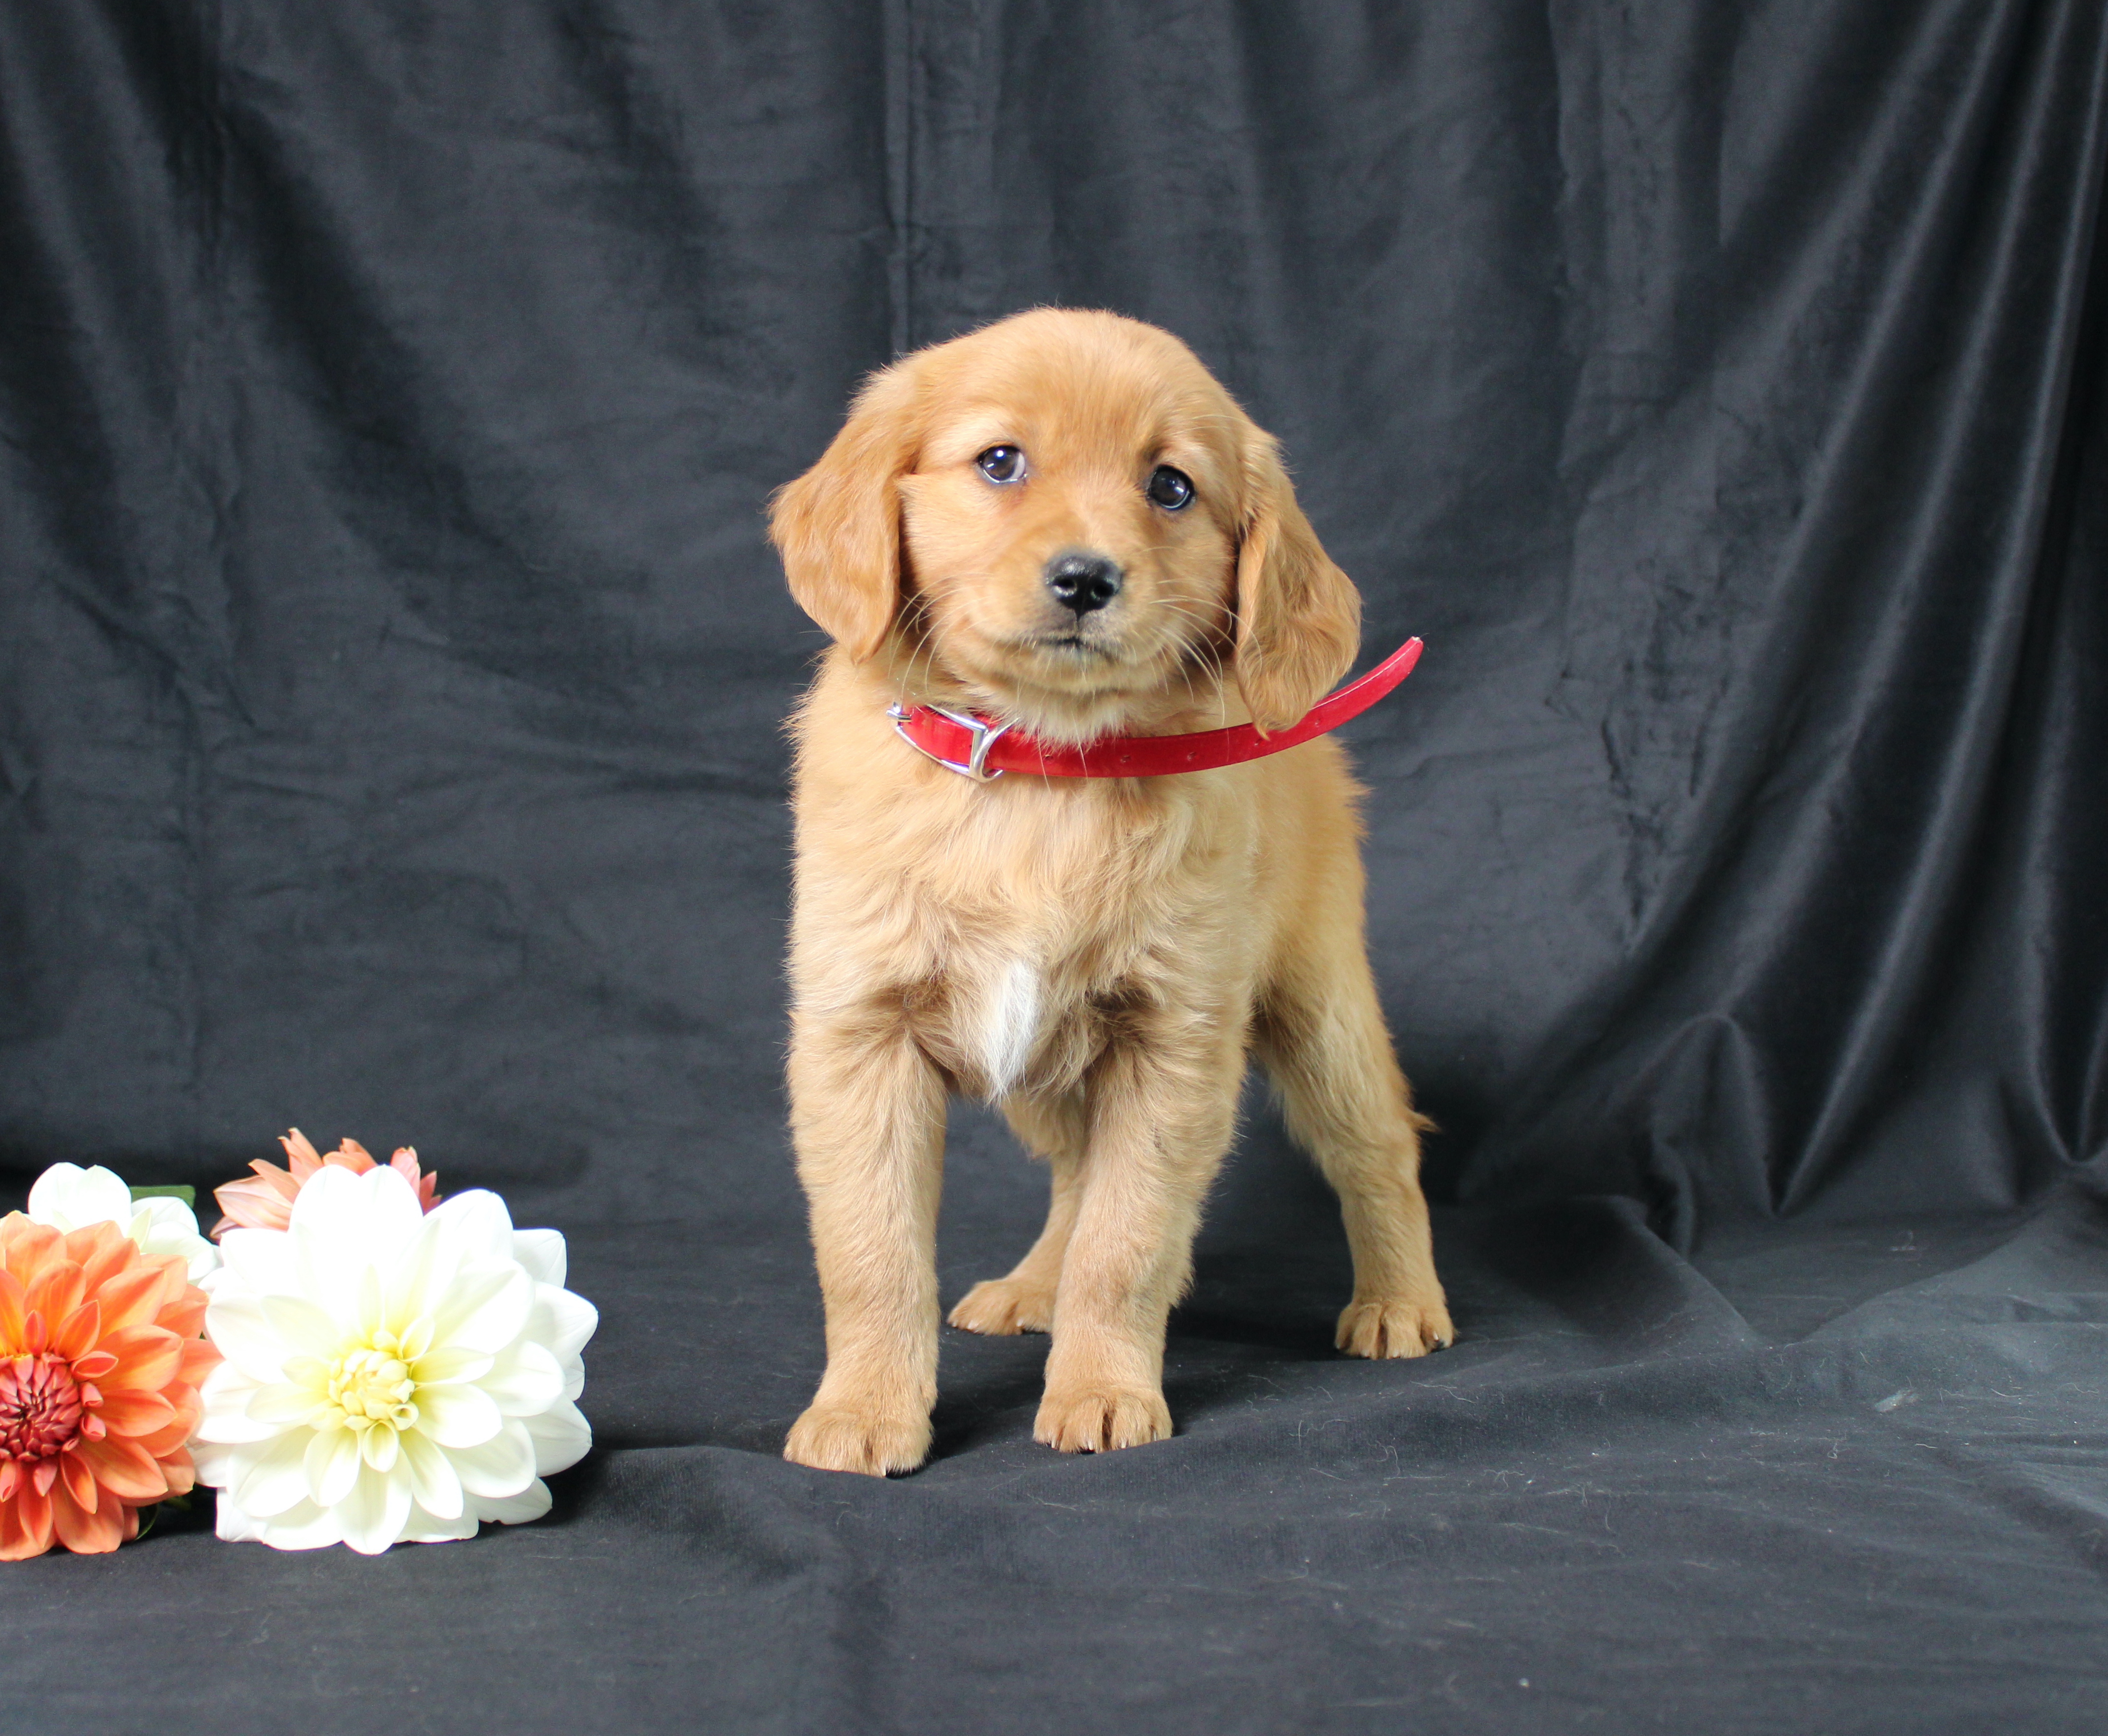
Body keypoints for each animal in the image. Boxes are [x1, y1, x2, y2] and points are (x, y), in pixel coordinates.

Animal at [771, 305, 1450, 1474]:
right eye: (1000, 462)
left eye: (1170, 487)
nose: (1086, 579)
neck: (1040, 778)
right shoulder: (861, 1036)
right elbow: (873, 1251)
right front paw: (866, 1408)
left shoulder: (1173, 1044)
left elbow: (1125, 1243)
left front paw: (1100, 1390)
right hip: (1050, 1071)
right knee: (1071, 1173)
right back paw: (1032, 1287)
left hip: (1318, 1008)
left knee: (1379, 1145)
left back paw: (1401, 1300)